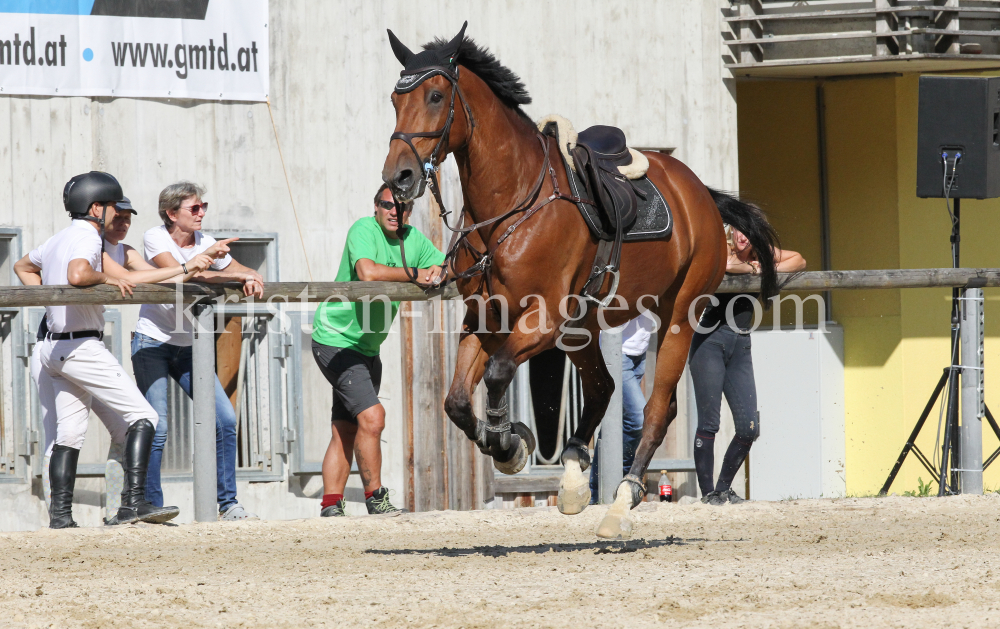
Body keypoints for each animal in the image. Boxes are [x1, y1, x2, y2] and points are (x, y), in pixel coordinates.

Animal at [378, 22, 776, 536]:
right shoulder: (486, 318)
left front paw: (508, 445)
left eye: (434, 95)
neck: (511, 202)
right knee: (604, 387)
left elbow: (499, 372)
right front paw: (510, 445)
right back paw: (571, 478)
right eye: (395, 99)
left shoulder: (542, 318)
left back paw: (622, 501)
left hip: (676, 316)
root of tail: (700, 192)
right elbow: (458, 402)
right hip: (582, 326)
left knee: (656, 409)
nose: (399, 179)